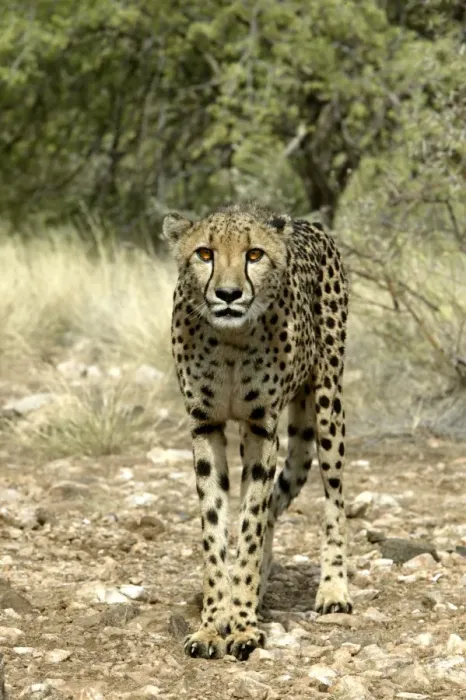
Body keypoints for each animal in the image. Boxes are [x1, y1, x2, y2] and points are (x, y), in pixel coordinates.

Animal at [163, 203, 352, 661]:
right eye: (205, 253)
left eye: (254, 255)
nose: (229, 294)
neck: (229, 339)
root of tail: (306, 222)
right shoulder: (205, 425)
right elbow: (217, 527)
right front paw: (214, 622)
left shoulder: (260, 428)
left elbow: (249, 526)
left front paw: (244, 625)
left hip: (327, 403)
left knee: (334, 498)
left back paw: (333, 589)